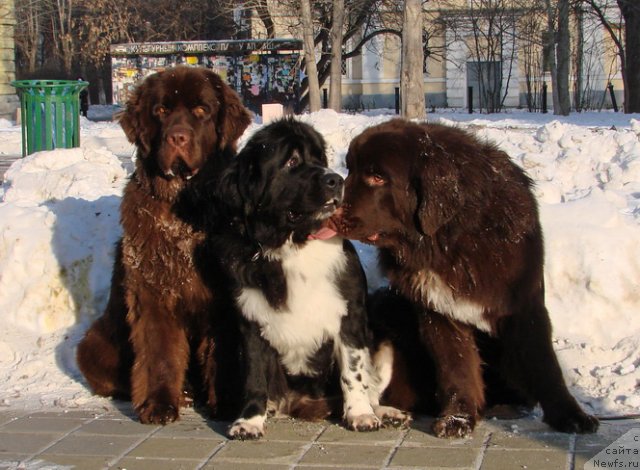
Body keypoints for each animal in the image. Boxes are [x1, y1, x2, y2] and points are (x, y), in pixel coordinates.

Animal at [76, 64, 251, 424]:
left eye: (201, 110)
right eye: (160, 111)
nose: (177, 137)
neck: (184, 208)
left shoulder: (223, 299)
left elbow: (223, 352)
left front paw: (227, 402)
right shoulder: (153, 292)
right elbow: (159, 351)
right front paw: (158, 404)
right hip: (92, 344)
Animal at [208, 119, 410, 438]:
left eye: (320, 160)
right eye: (292, 161)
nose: (336, 180)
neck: (291, 244)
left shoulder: (350, 313)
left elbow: (353, 370)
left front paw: (360, 414)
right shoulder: (250, 320)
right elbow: (254, 375)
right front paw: (250, 420)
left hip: (384, 342)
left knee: (372, 385)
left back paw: (384, 412)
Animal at [332, 119, 596, 438]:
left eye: (377, 176)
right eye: (350, 169)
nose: (329, 211)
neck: (449, 241)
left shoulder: (524, 304)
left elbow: (544, 364)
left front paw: (571, 416)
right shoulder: (438, 310)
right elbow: (456, 366)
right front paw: (457, 418)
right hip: (385, 307)